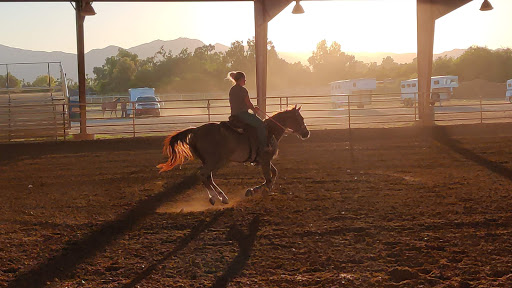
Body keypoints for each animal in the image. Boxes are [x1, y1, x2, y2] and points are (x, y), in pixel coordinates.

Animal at [157, 105, 308, 205]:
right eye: (299, 119)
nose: (306, 133)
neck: (270, 131)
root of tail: (196, 130)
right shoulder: (265, 159)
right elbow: (269, 179)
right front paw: (259, 191)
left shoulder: (265, 160)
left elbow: (274, 173)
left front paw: (253, 190)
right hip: (216, 161)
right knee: (203, 174)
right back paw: (216, 197)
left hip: (211, 161)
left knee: (208, 177)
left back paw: (220, 197)